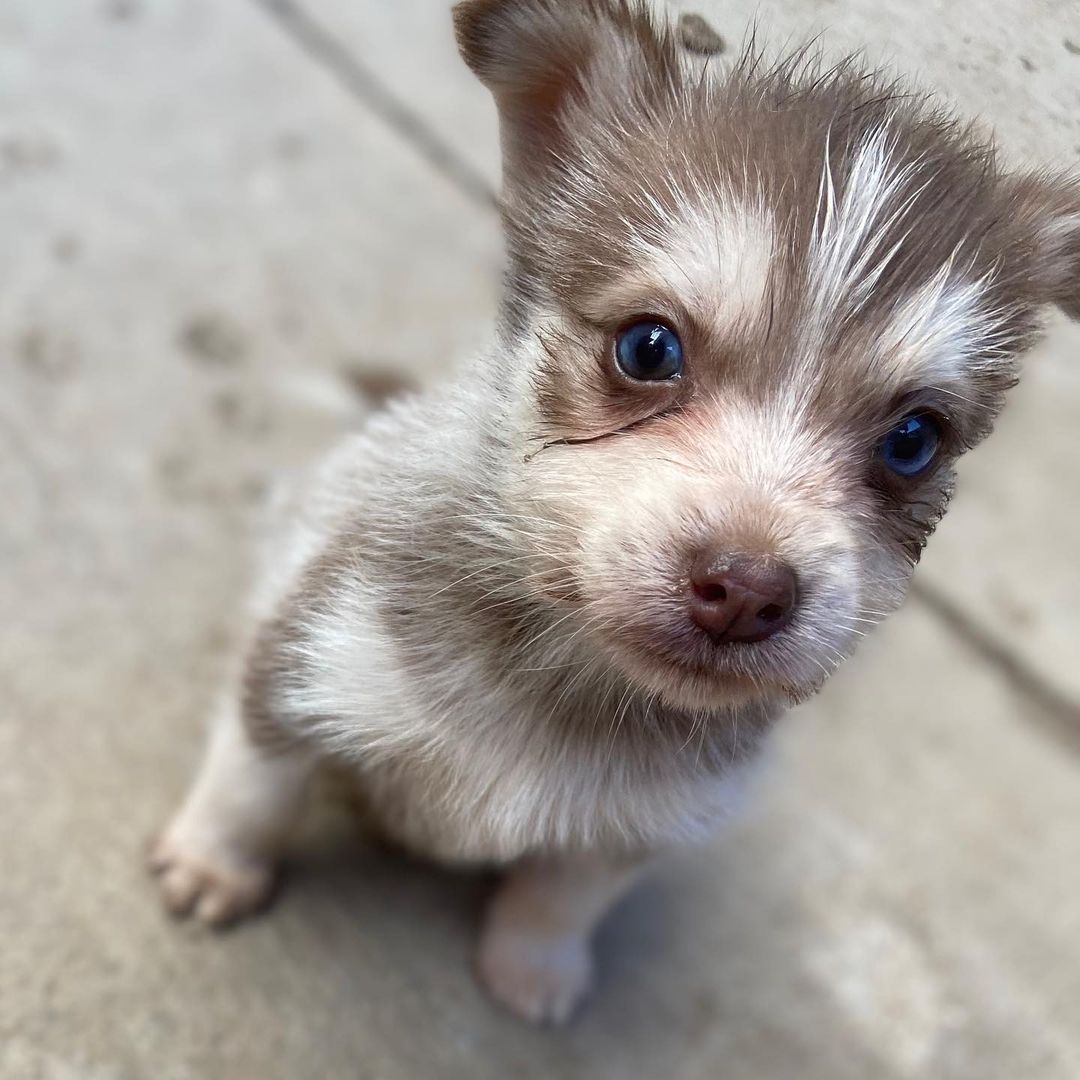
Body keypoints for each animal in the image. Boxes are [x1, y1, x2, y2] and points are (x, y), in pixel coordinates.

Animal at [150, 0, 1080, 1023]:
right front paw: (215, 864)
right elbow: (254, 779)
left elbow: (562, 892)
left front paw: (533, 966)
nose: (745, 591)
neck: (568, 680)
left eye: (915, 439)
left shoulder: (644, 825)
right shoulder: (304, 659)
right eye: (648, 347)